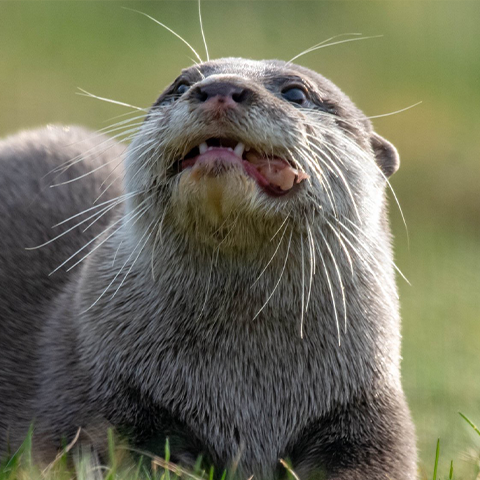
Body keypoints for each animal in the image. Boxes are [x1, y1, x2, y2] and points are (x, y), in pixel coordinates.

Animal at [0, 58, 416, 478]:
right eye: (181, 85)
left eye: (297, 93)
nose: (219, 88)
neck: (245, 383)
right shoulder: (102, 390)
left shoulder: (367, 408)